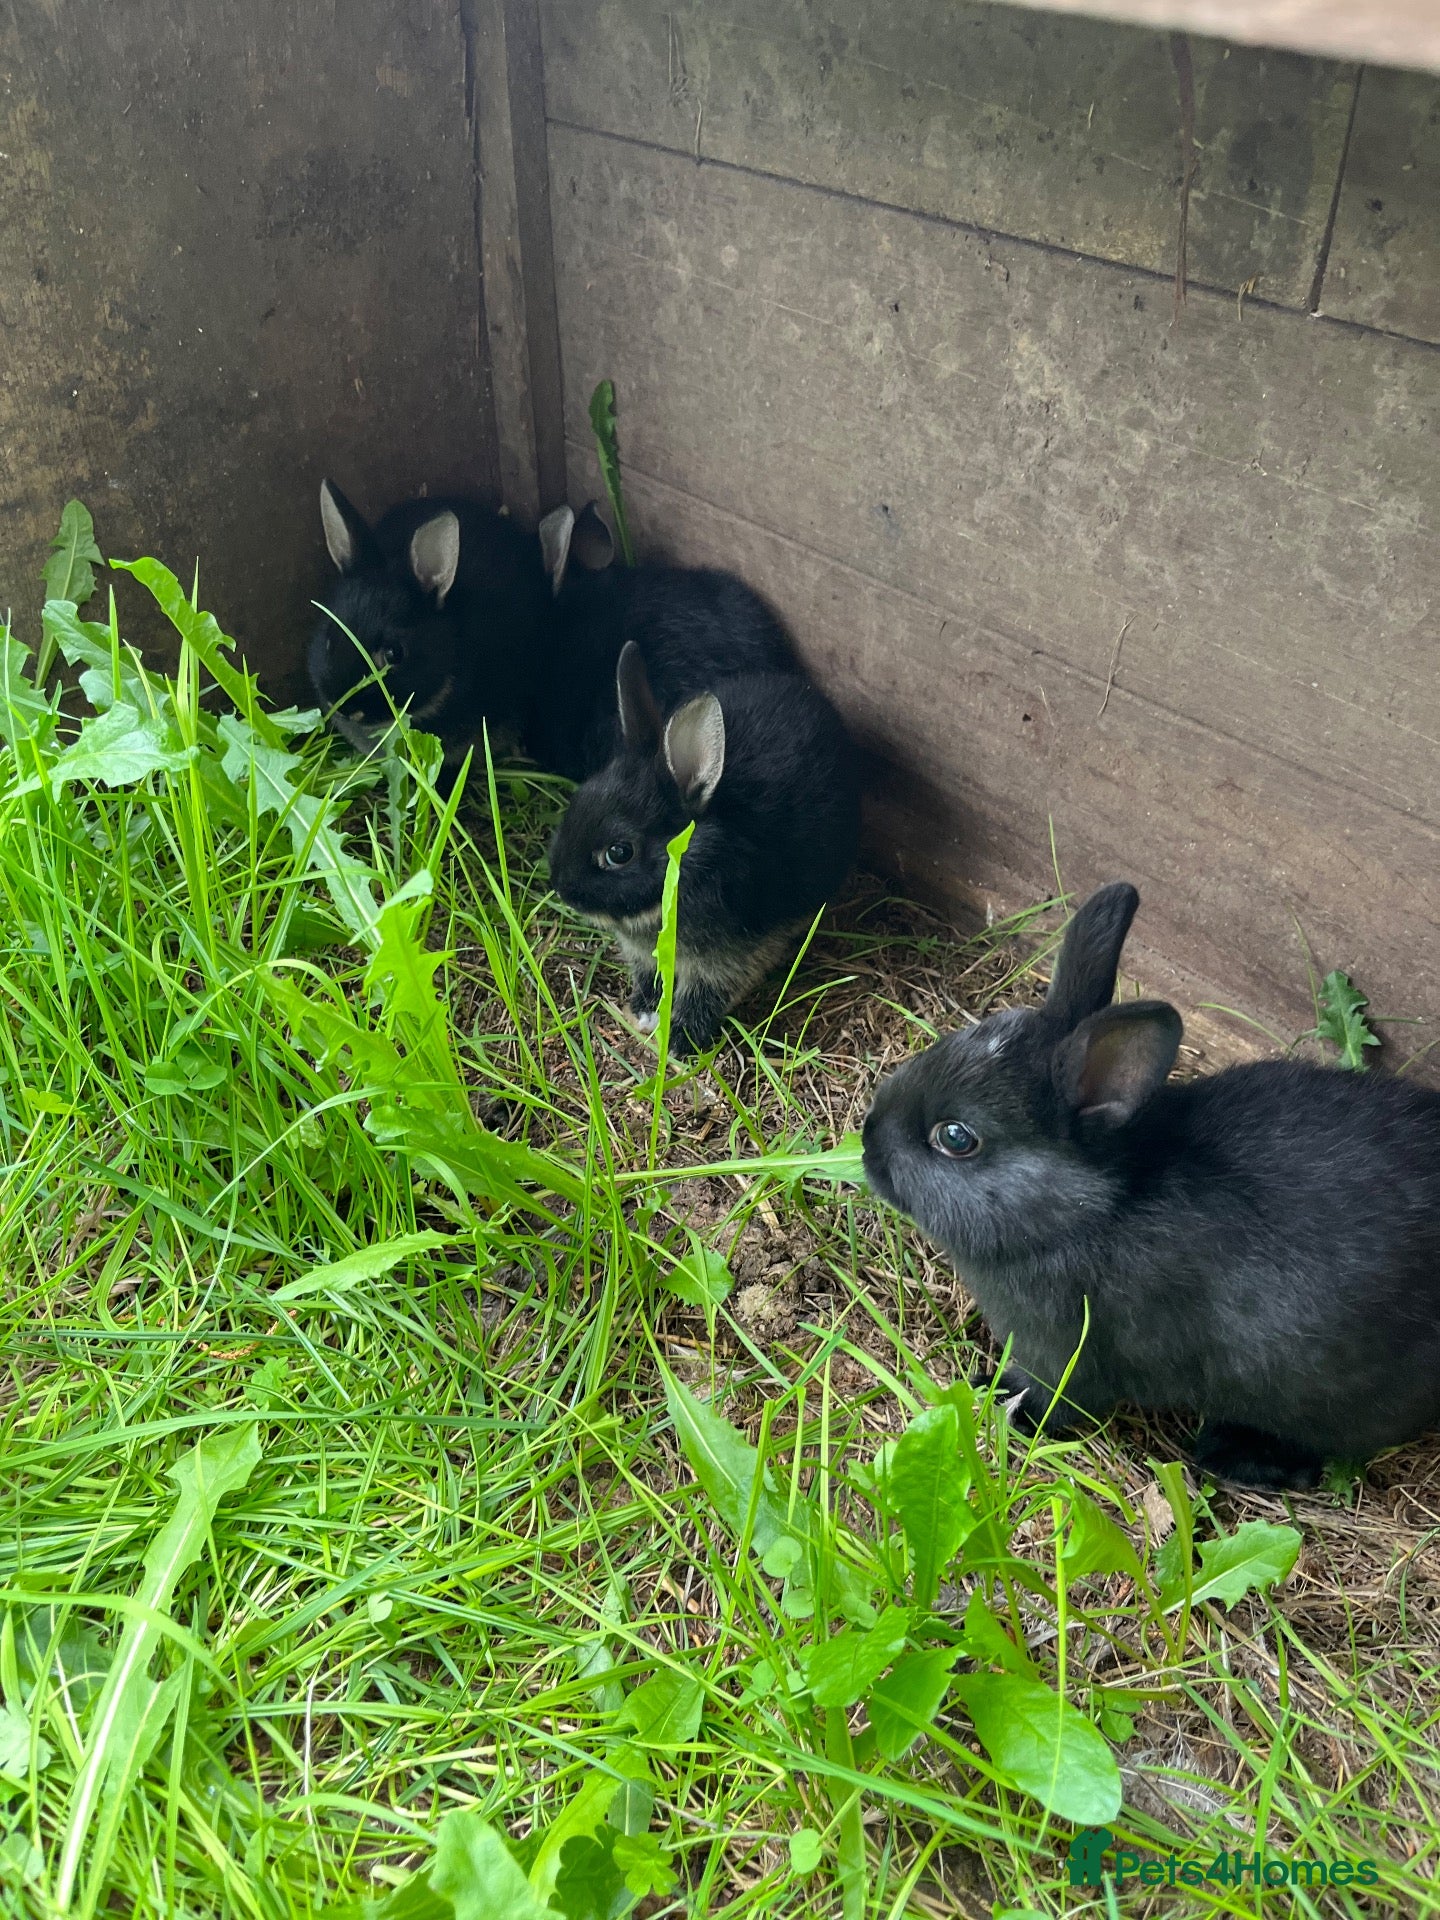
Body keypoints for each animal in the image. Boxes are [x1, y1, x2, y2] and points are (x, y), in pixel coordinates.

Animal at [547, 639, 862, 1055]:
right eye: (578, 800)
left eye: (619, 852)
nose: (561, 887)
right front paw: (644, 1010)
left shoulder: (729, 960)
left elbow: (705, 996)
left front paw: (679, 1041)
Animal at [862, 880, 1440, 1490]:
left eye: (955, 1137)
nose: (869, 1141)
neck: (1083, 1213)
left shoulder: (1067, 1356)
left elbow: (1059, 1399)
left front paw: (1004, 1405)